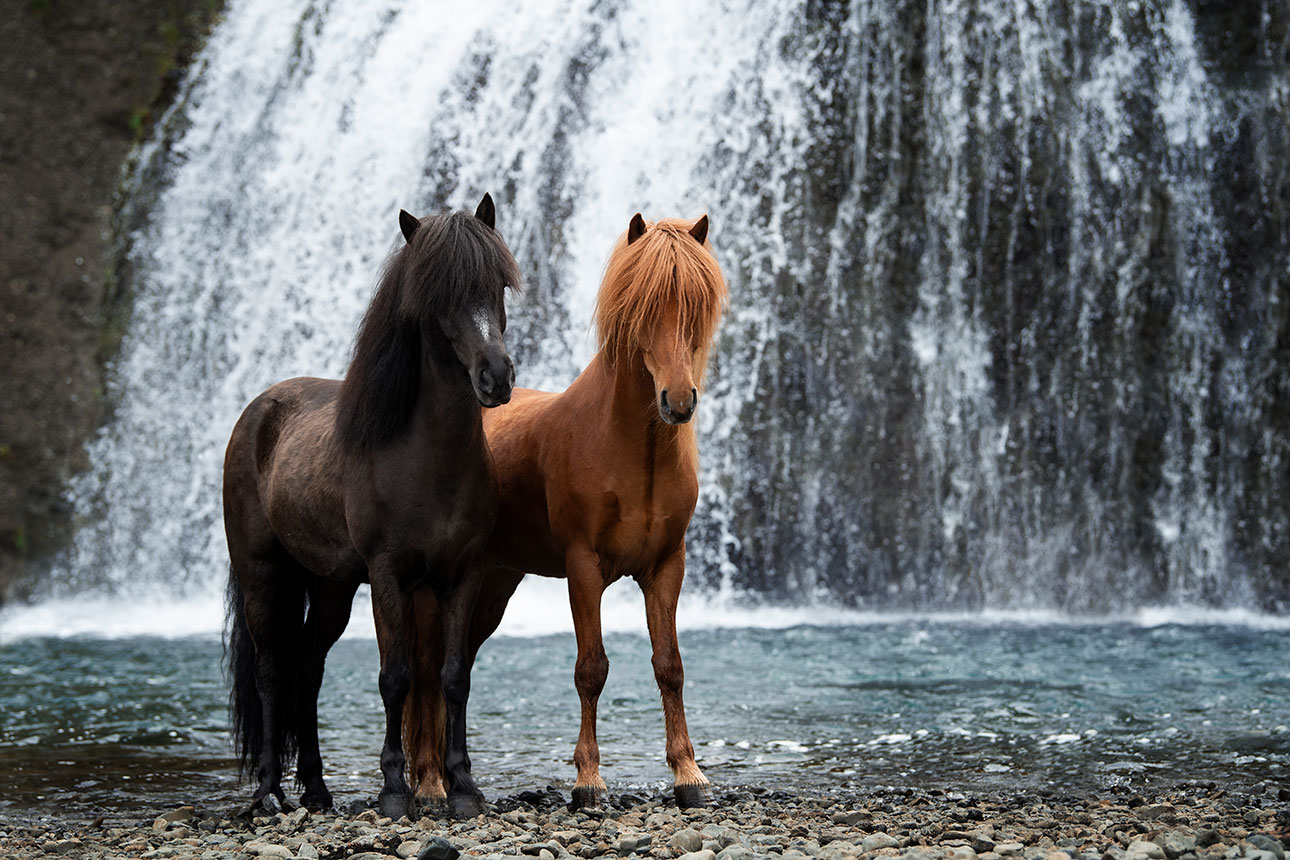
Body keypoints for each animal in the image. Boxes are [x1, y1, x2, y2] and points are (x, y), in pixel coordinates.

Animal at [224, 194, 516, 820]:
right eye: (436, 295)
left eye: (499, 284)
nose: (496, 377)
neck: (427, 458)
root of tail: (259, 410)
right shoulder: (387, 576)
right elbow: (396, 678)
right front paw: (394, 791)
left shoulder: (463, 575)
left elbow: (454, 676)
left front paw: (464, 787)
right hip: (263, 572)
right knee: (270, 671)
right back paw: (268, 790)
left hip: (330, 585)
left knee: (307, 668)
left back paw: (316, 789)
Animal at [394, 211, 727, 809]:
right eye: (641, 308)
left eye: (696, 306)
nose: (679, 401)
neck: (630, 449)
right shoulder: (584, 568)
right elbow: (591, 669)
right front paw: (588, 779)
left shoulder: (666, 567)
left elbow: (670, 667)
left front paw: (687, 774)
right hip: (437, 590)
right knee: (429, 673)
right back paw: (430, 783)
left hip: (492, 585)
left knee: (456, 667)